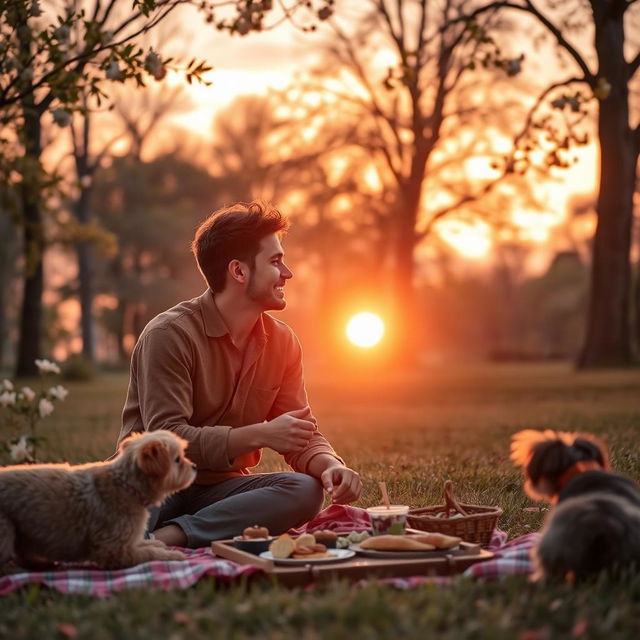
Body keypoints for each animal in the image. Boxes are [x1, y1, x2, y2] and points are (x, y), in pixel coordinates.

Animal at [0, 430, 195, 568]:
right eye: (178, 459)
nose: (194, 467)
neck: (125, 483)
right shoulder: (113, 550)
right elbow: (148, 554)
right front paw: (173, 555)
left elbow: (145, 544)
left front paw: (157, 544)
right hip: (6, 531)